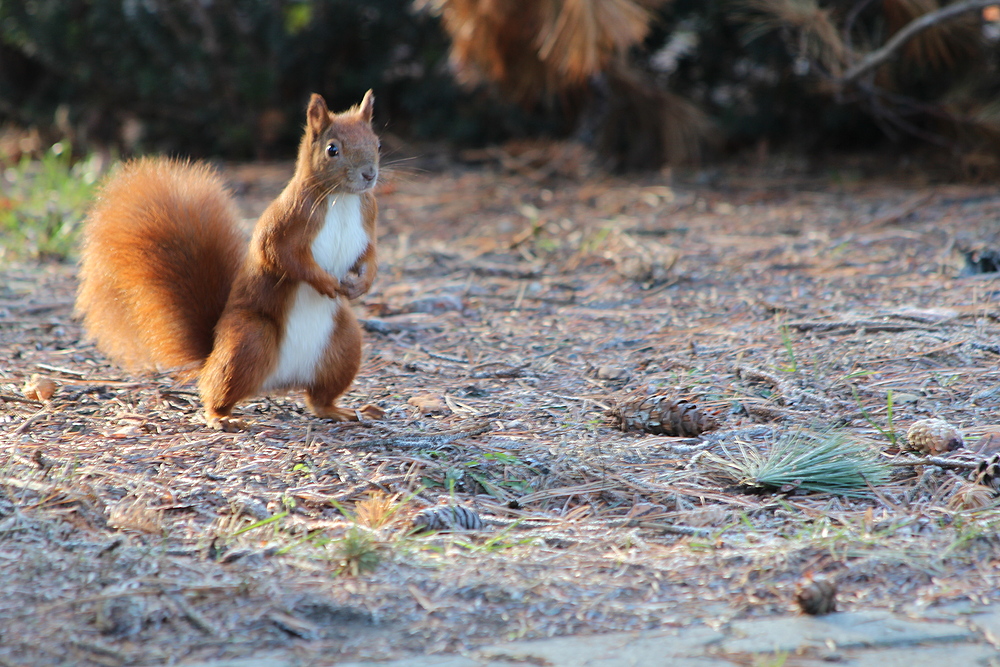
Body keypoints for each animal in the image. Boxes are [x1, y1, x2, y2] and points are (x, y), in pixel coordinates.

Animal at [75, 91, 382, 430]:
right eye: (332, 150)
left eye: (377, 143)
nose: (369, 174)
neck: (342, 198)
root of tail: (280, 381)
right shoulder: (285, 223)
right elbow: (281, 256)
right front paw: (324, 282)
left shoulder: (368, 221)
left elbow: (370, 256)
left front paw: (362, 284)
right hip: (249, 340)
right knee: (215, 388)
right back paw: (220, 416)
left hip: (345, 344)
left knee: (318, 399)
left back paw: (338, 410)